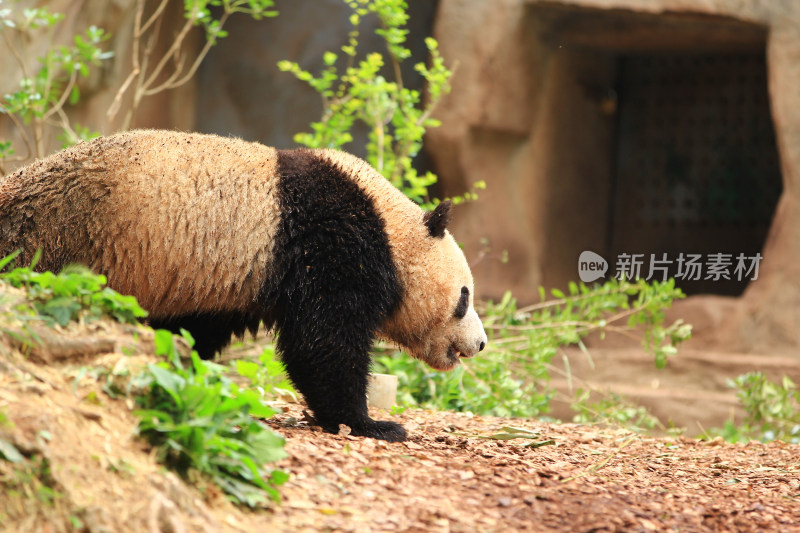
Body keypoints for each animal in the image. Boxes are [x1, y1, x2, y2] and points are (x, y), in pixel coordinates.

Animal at [0, 129, 484, 440]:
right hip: (63, 233)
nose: (479, 344)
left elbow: (195, 328)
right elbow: (324, 344)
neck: (391, 229)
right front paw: (372, 424)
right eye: (464, 298)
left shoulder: (221, 284)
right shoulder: (329, 243)